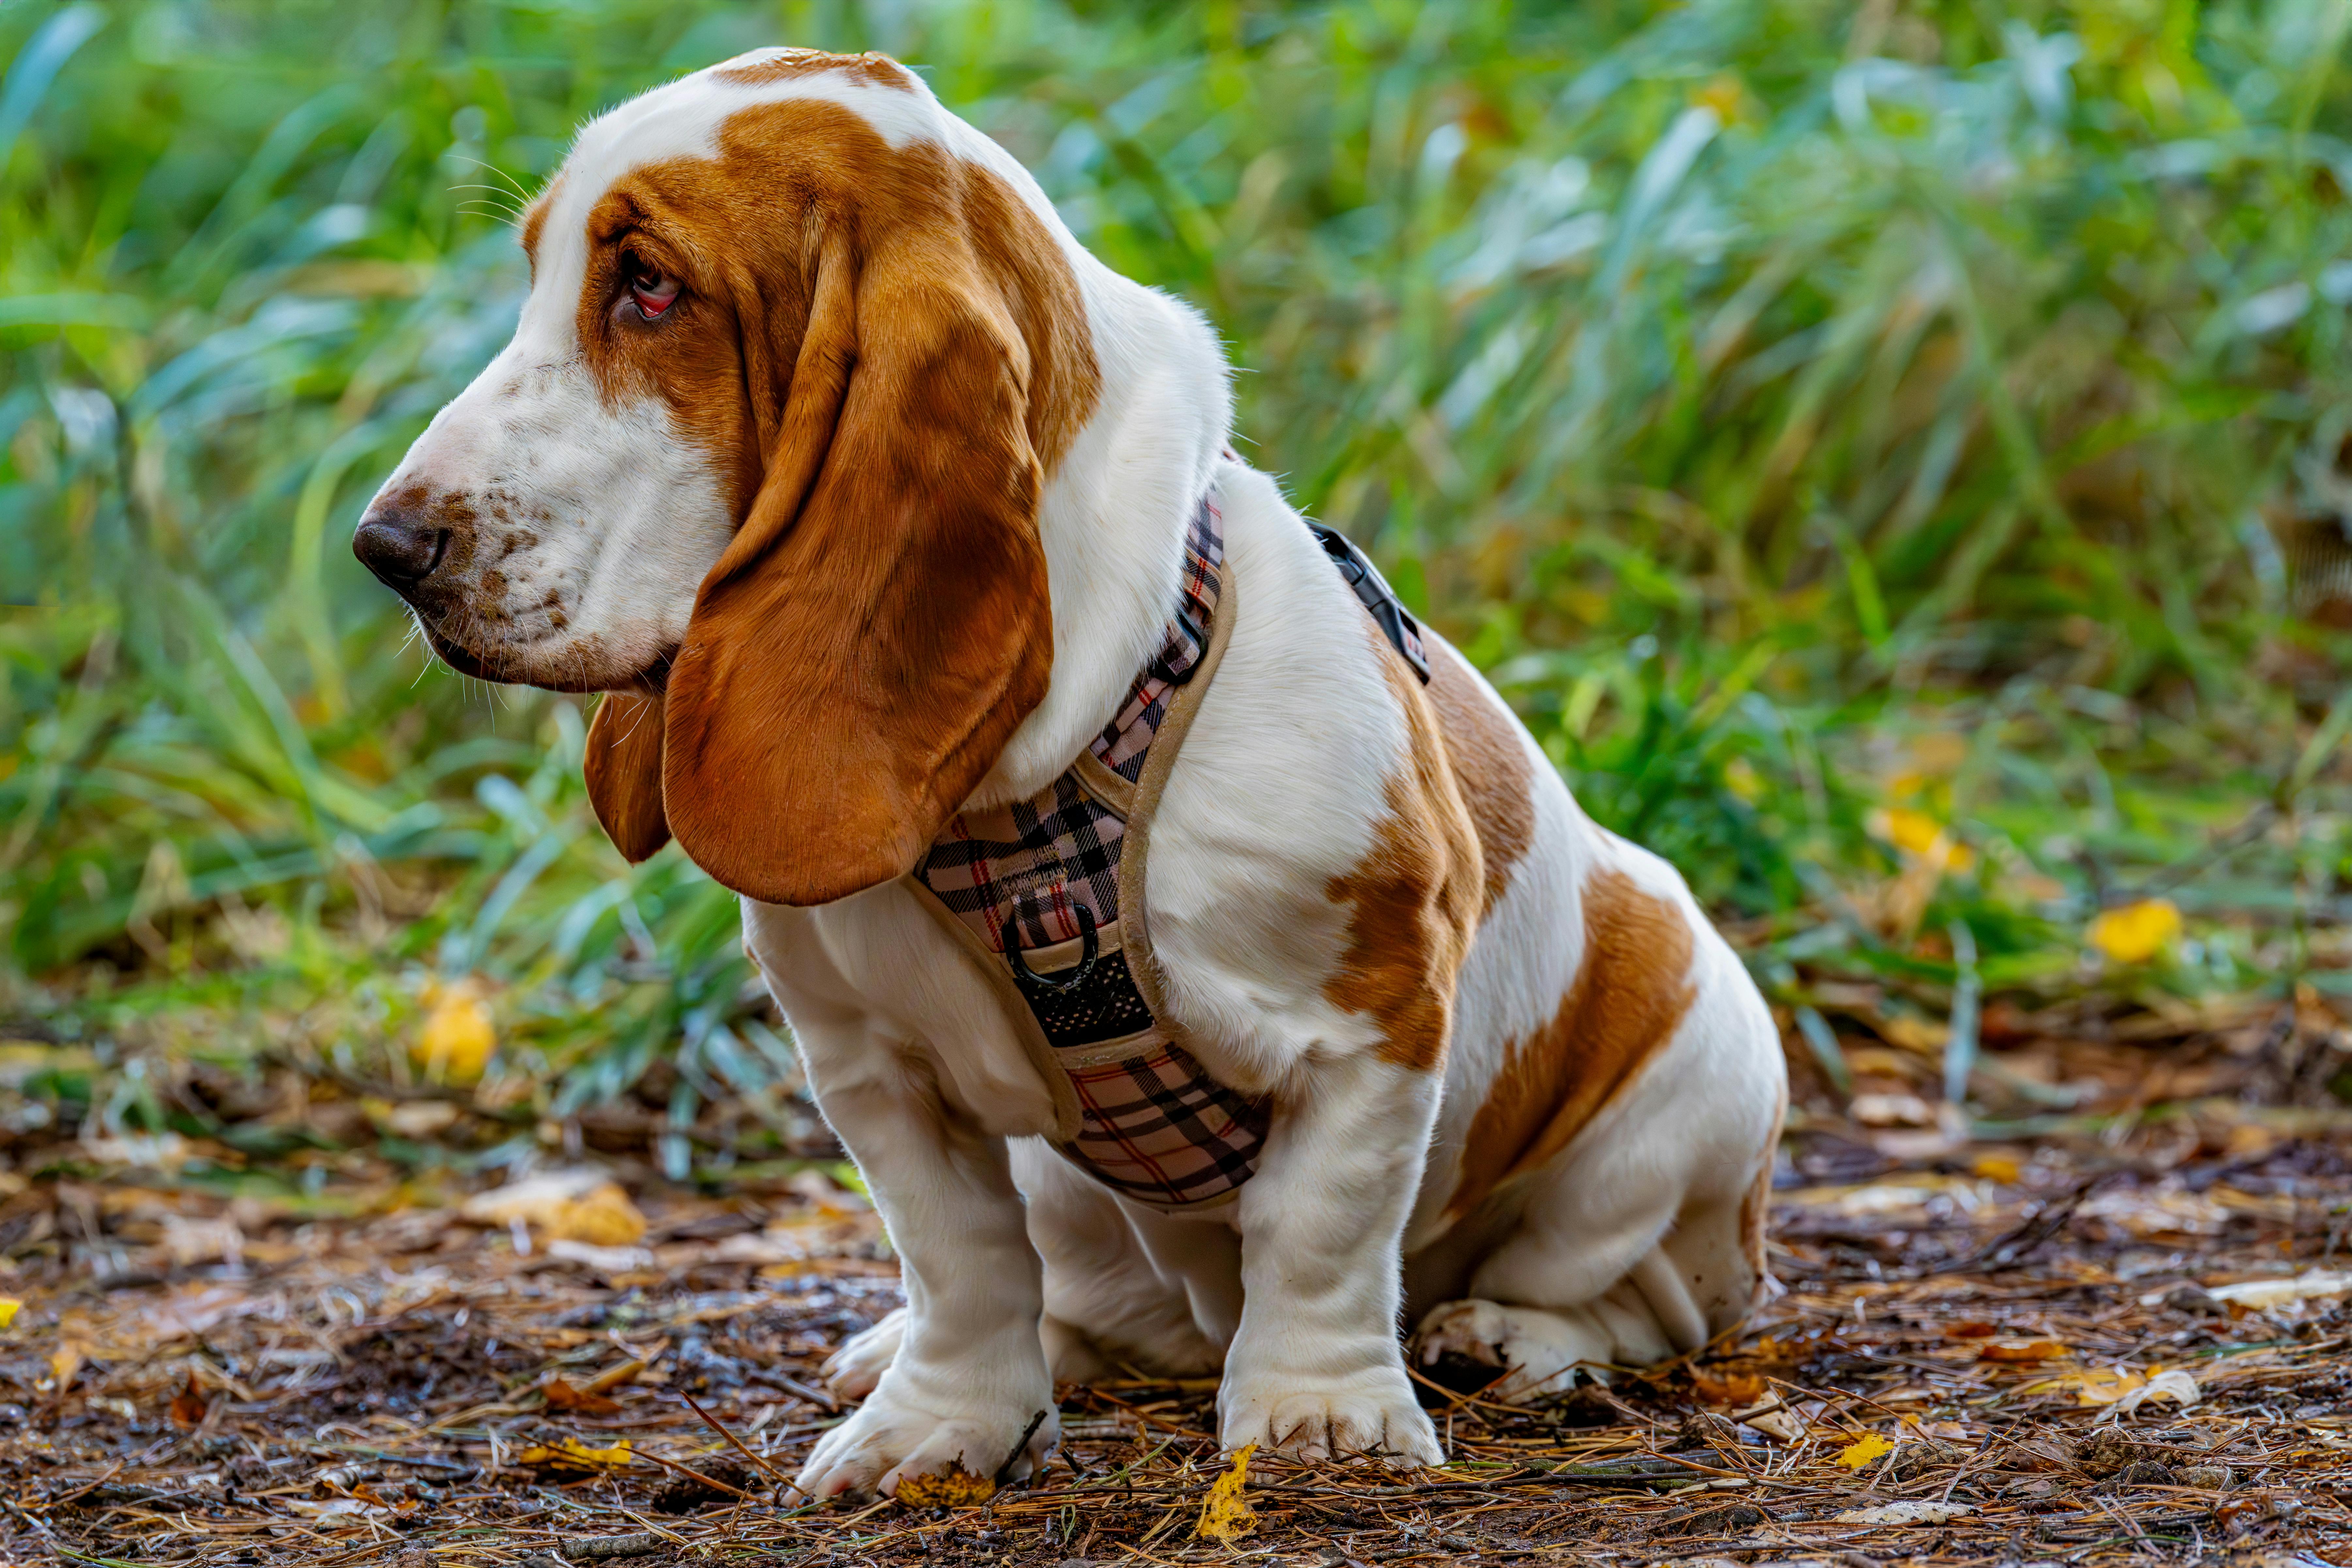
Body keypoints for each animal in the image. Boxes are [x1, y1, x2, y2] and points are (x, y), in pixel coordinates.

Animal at [353, 46, 1778, 1495]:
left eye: (648, 285)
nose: (383, 548)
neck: (1025, 799)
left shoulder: (1372, 1018)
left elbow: (1319, 1233)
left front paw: (1317, 1416)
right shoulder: (869, 1065)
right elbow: (959, 1257)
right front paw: (939, 1424)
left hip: (1688, 1103)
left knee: (1641, 1299)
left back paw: (1513, 1337)